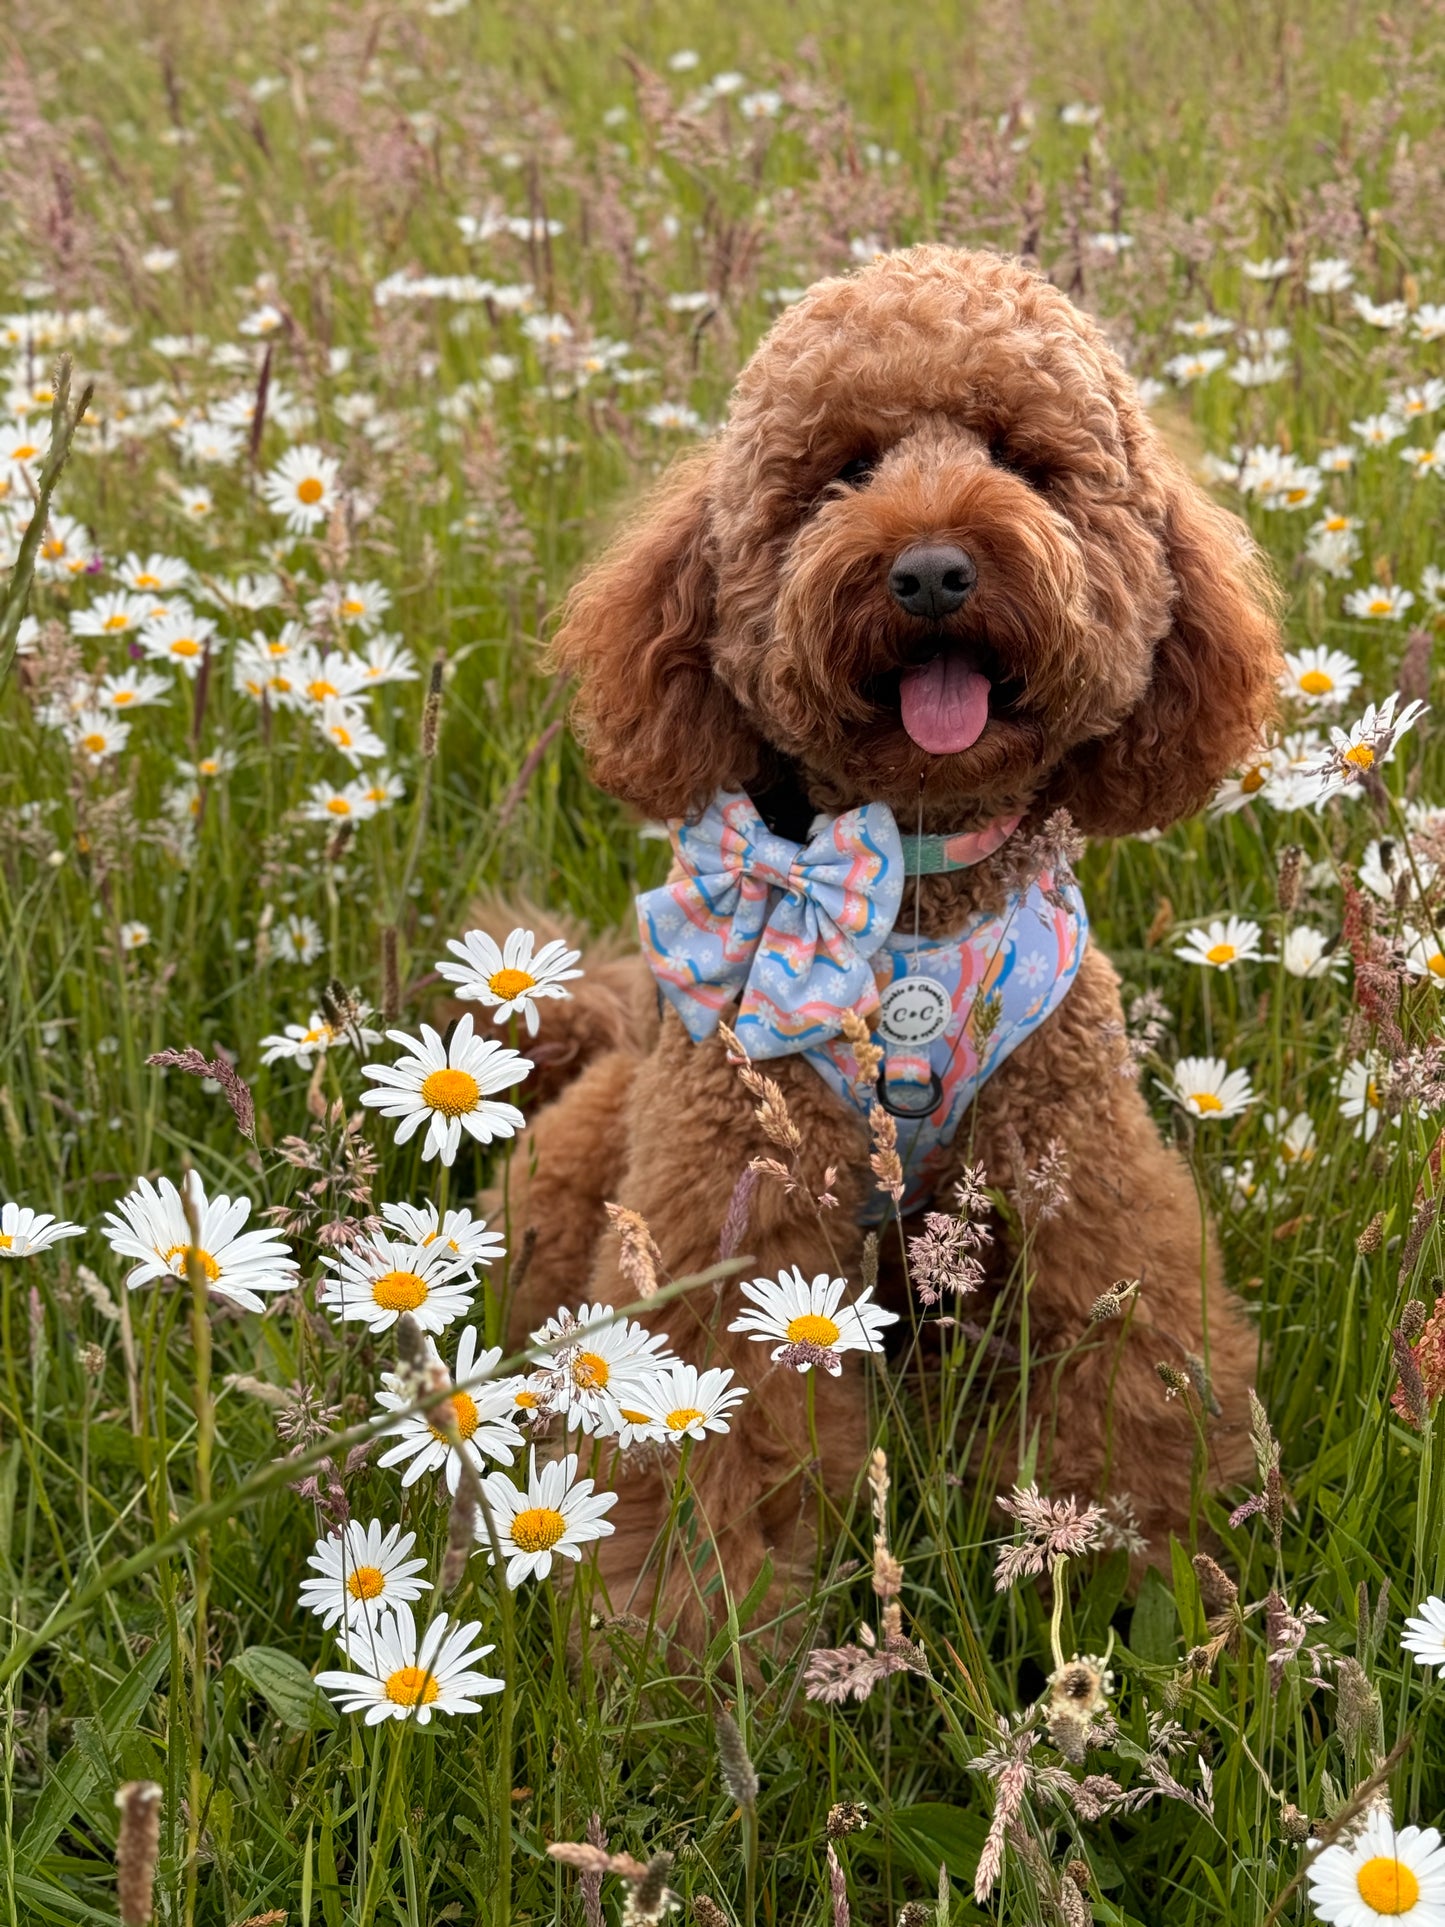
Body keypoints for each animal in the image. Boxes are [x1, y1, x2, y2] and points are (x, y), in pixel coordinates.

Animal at [483, 240, 1279, 1649]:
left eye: (1023, 459)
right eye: (838, 473)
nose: (929, 573)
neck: (909, 885)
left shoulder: (1078, 1176)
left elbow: (1131, 1370)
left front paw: (1135, 1560)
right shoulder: (740, 1207)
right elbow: (719, 1413)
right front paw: (696, 1630)